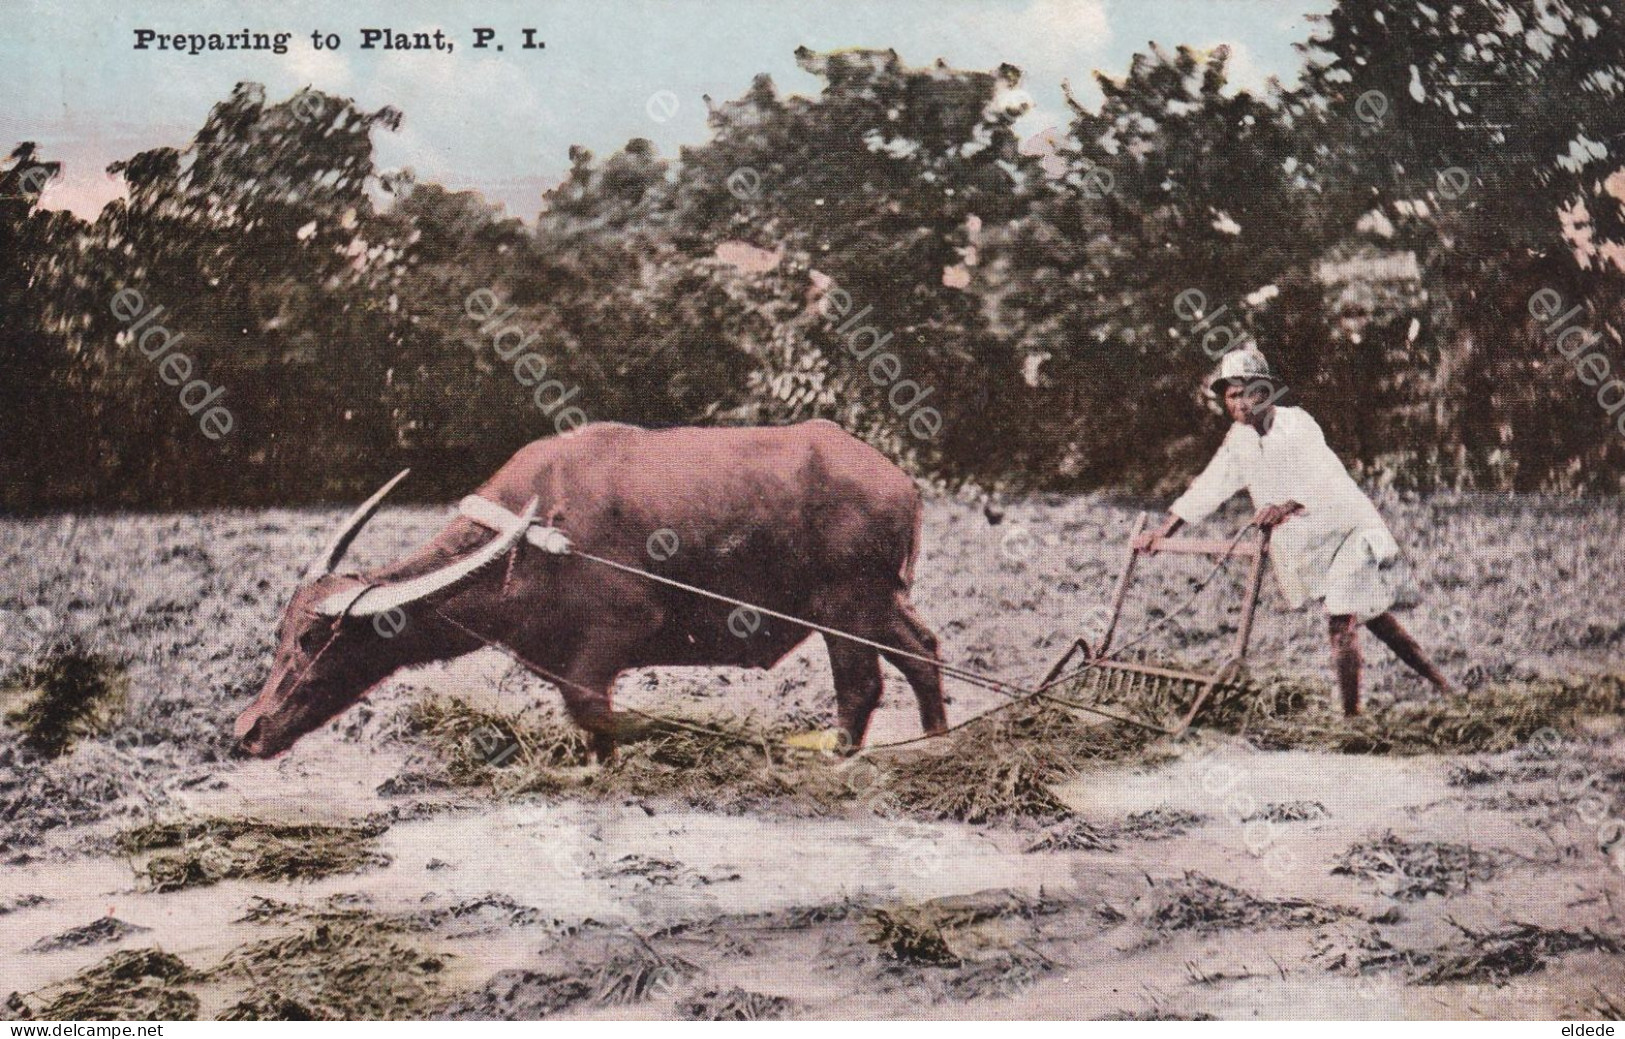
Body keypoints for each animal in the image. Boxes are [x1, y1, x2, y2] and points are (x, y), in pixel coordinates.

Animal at [237, 419, 949, 760]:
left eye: (312, 638)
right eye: (279, 630)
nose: (247, 729)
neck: (528, 544)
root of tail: (900, 483)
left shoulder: (611, 641)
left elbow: (596, 713)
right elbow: (589, 727)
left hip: (845, 607)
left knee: (861, 685)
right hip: (879, 602)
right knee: (922, 651)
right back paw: (938, 740)